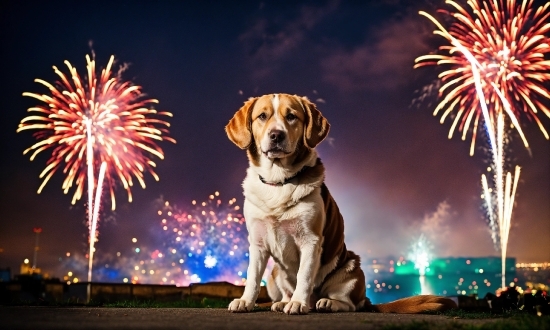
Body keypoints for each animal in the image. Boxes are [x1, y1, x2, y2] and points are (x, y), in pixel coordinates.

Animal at [224, 93, 458, 314]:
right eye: (262, 116)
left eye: (291, 116)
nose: (276, 135)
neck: (279, 181)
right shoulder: (257, 243)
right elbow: (253, 277)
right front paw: (246, 301)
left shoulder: (311, 241)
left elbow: (304, 276)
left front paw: (298, 303)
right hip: (274, 275)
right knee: (284, 292)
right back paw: (283, 302)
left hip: (352, 266)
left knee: (350, 304)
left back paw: (325, 303)